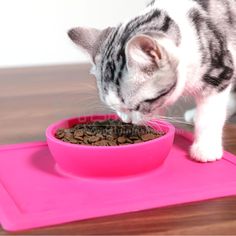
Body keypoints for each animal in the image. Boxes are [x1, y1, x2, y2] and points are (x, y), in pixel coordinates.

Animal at [68, 0, 236, 162]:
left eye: (137, 106)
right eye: (113, 107)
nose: (127, 121)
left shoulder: (221, 71)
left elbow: (208, 116)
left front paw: (205, 149)